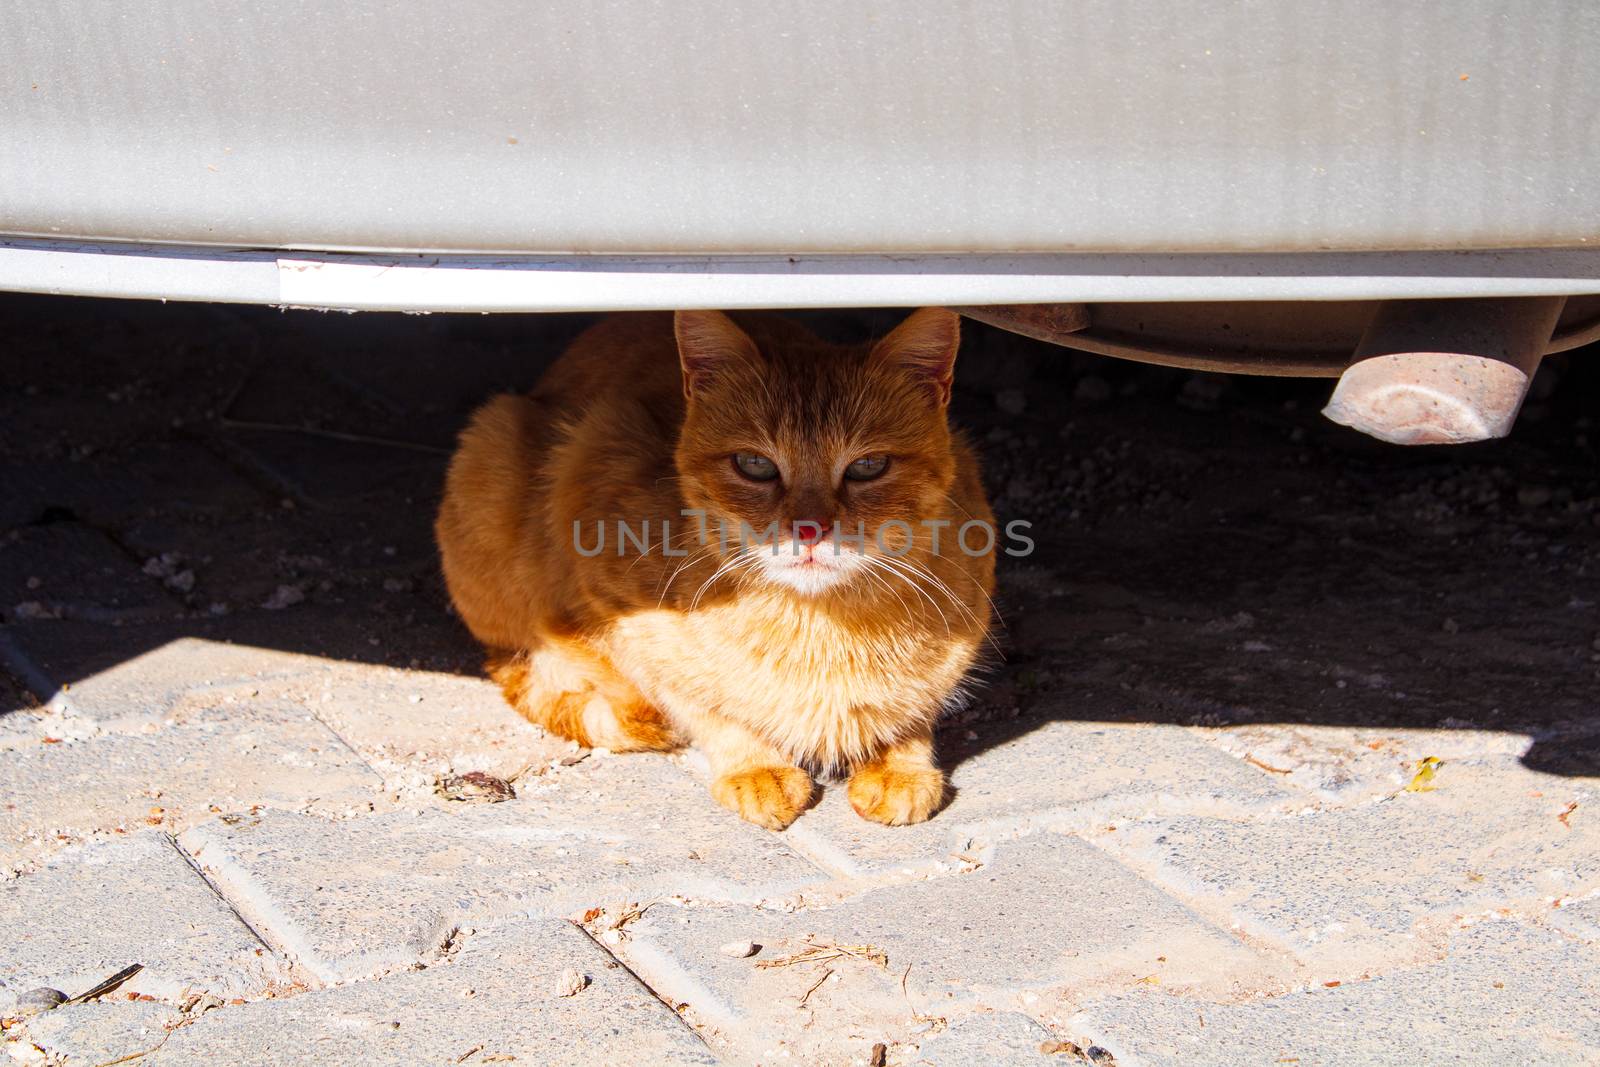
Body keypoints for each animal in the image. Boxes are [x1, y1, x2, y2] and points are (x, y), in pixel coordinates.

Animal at [432, 308, 992, 825]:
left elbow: (915, 709)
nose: (809, 530)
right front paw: (755, 765)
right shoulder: (615, 607)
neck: (821, 628)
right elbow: (702, 705)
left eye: (869, 466)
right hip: (494, 444)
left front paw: (902, 764)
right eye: (755, 465)